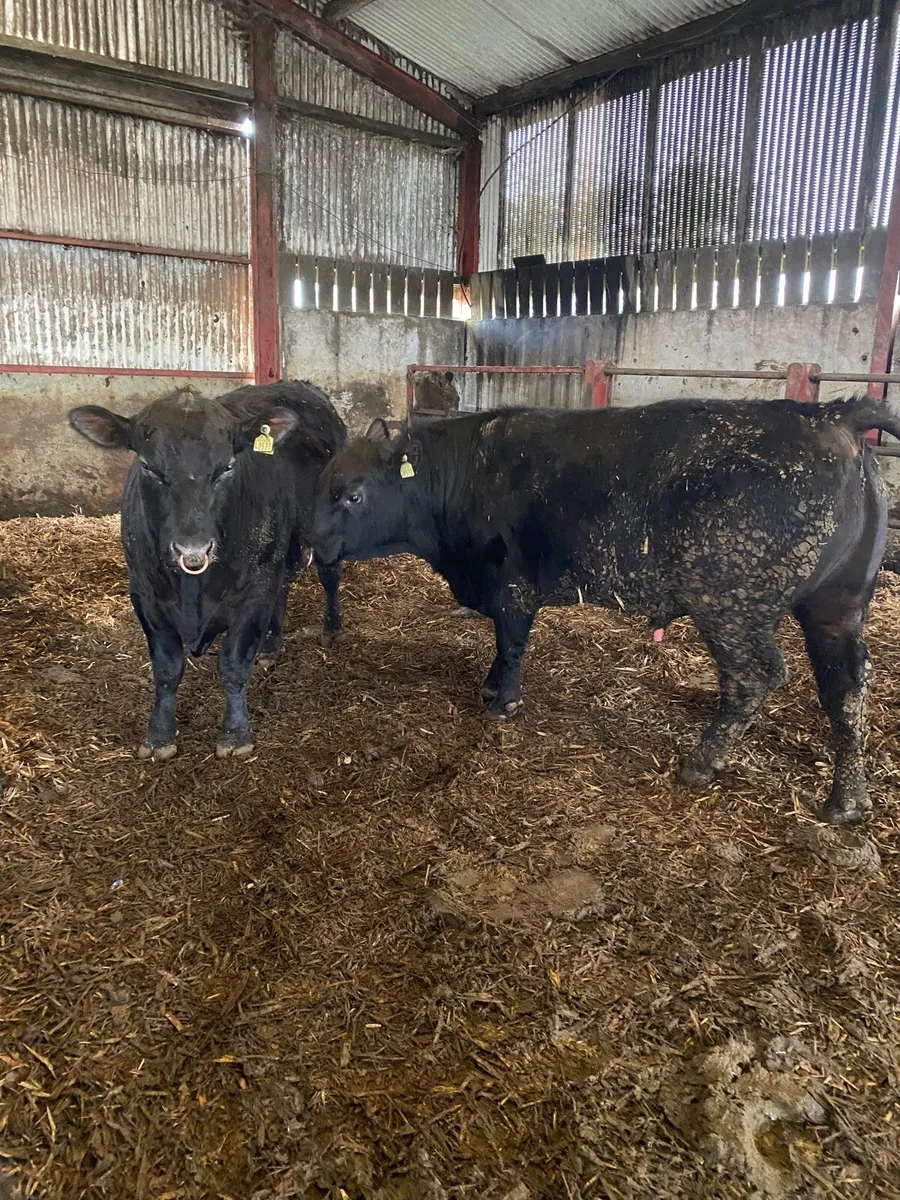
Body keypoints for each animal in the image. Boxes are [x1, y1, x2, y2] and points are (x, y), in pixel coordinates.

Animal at [69, 381, 346, 761]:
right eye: (149, 467)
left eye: (227, 467)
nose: (192, 549)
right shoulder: (145, 595)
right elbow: (167, 668)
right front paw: (159, 737)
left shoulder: (253, 592)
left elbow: (233, 665)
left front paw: (235, 735)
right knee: (283, 587)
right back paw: (271, 646)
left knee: (329, 576)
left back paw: (332, 628)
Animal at [312, 396, 900, 825]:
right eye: (325, 486)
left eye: (353, 494)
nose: (313, 546)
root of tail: (829, 414)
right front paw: (489, 686)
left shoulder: (513, 585)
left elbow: (511, 641)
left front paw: (502, 701)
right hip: (837, 603)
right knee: (847, 685)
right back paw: (847, 801)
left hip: (730, 604)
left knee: (756, 676)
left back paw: (701, 763)